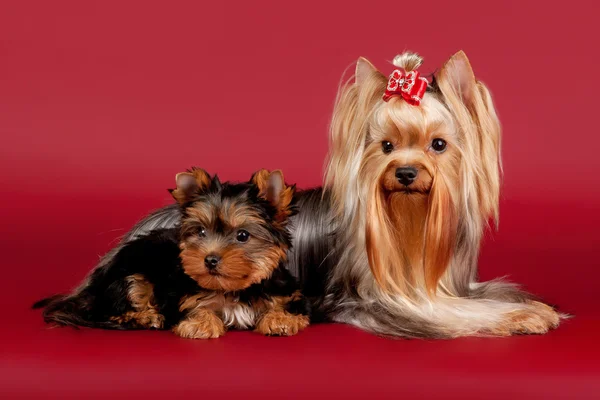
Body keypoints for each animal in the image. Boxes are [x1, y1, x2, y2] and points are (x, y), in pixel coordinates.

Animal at [34, 167, 310, 340]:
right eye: (200, 231)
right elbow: (198, 309)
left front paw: (280, 319)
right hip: (131, 277)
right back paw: (147, 318)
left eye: (243, 235)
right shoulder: (184, 297)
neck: (233, 289)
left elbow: (287, 307)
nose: (210, 259)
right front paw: (200, 324)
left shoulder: (288, 292)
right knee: (114, 307)